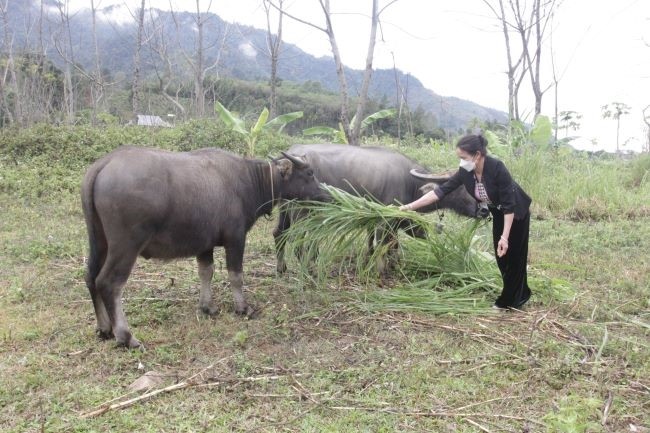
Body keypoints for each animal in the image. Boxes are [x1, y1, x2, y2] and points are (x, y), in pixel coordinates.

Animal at [81, 145, 324, 348]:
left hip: (98, 241)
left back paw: (104, 328)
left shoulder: (204, 244)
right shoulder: (235, 239)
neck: (248, 181)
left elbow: (206, 272)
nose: (324, 194)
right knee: (109, 283)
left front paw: (208, 307)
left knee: (90, 277)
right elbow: (236, 275)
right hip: (126, 245)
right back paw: (126, 336)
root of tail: (103, 164)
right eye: (310, 173)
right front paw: (243, 307)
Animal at [274, 144, 476, 274]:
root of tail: (288, 157)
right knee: (298, 240)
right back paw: (310, 270)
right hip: (302, 212)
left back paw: (282, 268)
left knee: (279, 233)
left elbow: (384, 243)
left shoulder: (382, 221)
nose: (482, 210)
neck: (411, 183)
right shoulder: (386, 220)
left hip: (285, 210)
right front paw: (380, 270)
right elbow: (383, 244)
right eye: (462, 186)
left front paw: (385, 264)